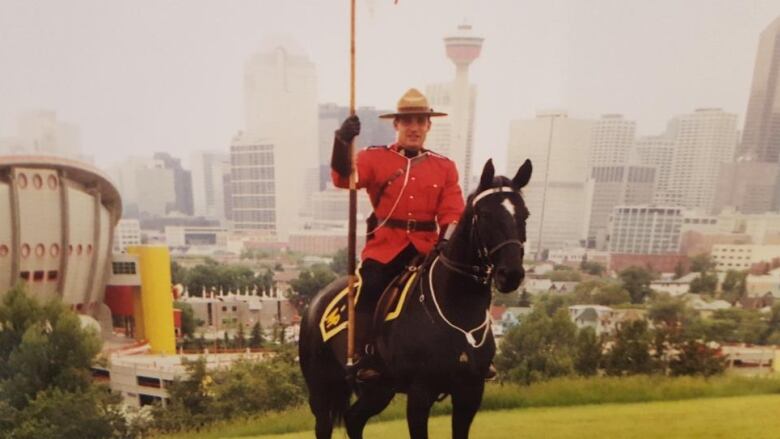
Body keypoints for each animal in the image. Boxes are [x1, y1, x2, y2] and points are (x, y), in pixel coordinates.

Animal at [298, 159, 532, 439]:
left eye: (525, 215)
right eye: (484, 214)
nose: (511, 274)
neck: (458, 308)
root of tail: (315, 302)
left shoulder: (470, 392)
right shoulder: (420, 393)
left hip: (380, 388)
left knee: (354, 419)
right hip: (322, 389)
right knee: (325, 424)